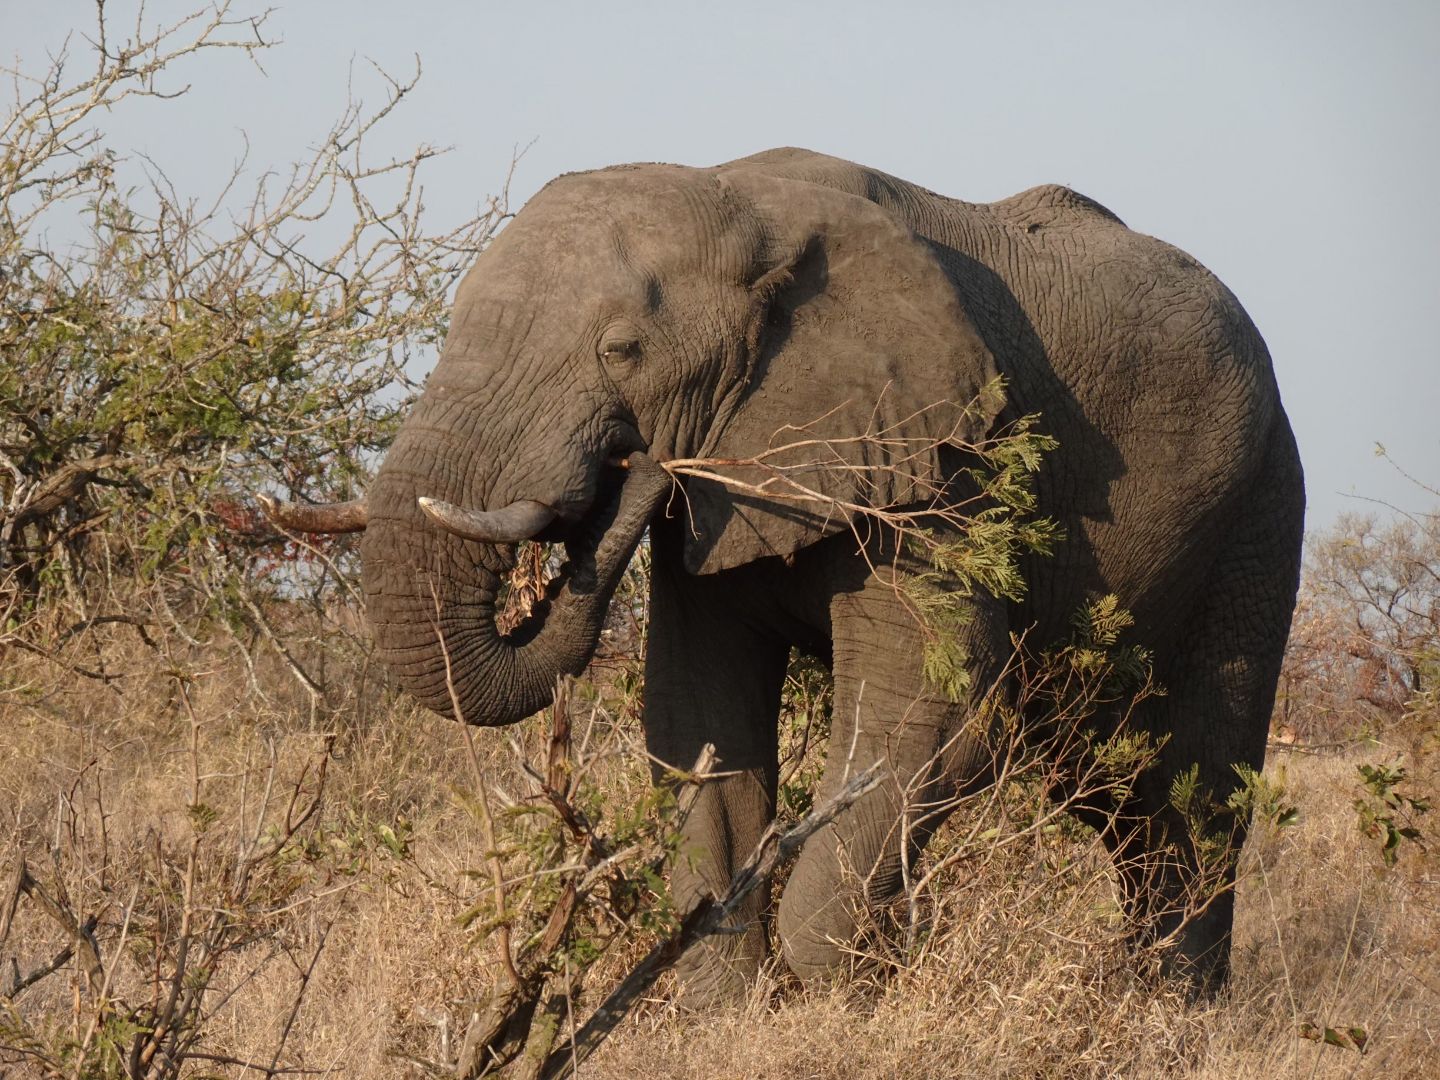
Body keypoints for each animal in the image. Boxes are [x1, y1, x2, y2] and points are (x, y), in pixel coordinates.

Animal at [262, 148, 1307, 1002]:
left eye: (622, 351)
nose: (632, 472)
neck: (746, 202)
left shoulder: (943, 462)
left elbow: (939, 718)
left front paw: (838, 991)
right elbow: (697, 720)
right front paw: (731, 1004)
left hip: (1262, 511)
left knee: (1195, 790)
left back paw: (1168, 1013)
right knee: (1112, 793)